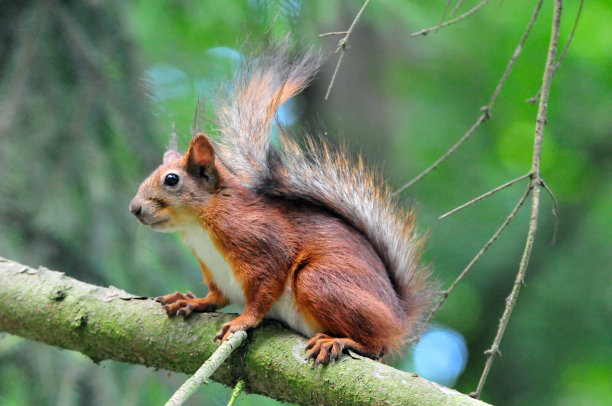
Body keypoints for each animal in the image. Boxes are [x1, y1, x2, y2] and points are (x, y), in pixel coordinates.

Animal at [128, 45, 430, 364]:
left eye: (171, 179)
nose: (134, 208)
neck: (199, 227)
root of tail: (399, 320)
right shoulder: (215, 273)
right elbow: (216, 297)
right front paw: (192, 300)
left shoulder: (259, 242)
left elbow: (264, 290)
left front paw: (242, 321)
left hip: (320, 281)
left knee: (378, 345)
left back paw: (339, 340)